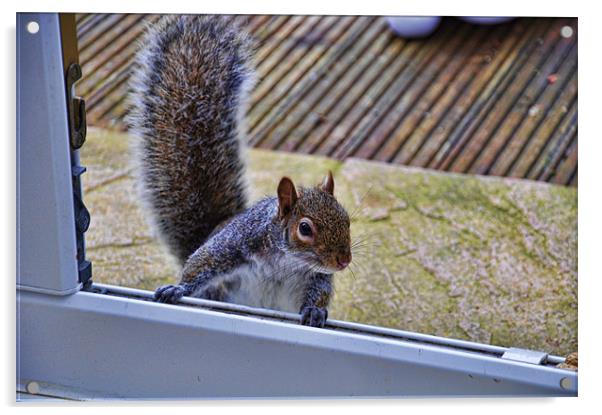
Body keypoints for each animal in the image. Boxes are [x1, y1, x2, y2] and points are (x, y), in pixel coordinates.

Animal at [127, 15, 352, 328]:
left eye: (347, 220)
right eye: (305, 228)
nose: (343, 261)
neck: (286, 260)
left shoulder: (316, 275)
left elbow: (319, 289)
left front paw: (315, 310)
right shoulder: (237, 242)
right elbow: (202, 261)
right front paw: (177, 288)